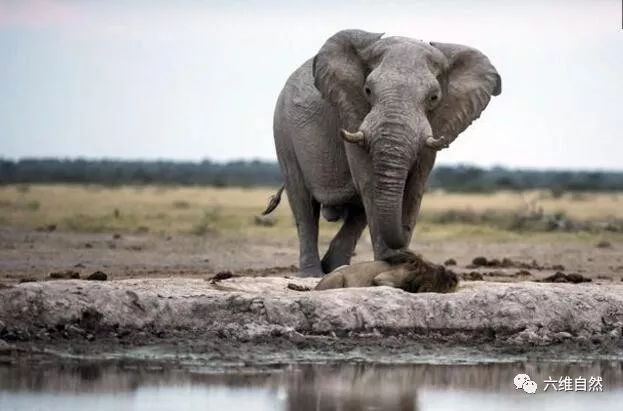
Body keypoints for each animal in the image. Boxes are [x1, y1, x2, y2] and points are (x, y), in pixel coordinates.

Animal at [268, 29, 502, 276]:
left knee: (357, 214)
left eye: (434, 98)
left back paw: (335, 267)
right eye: (367, 90)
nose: (408, 252)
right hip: (282, 130)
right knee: (302, 202)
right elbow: (370, 182)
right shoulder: (352, 115)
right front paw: (392, 264)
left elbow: (415, 187)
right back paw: (313, 274)